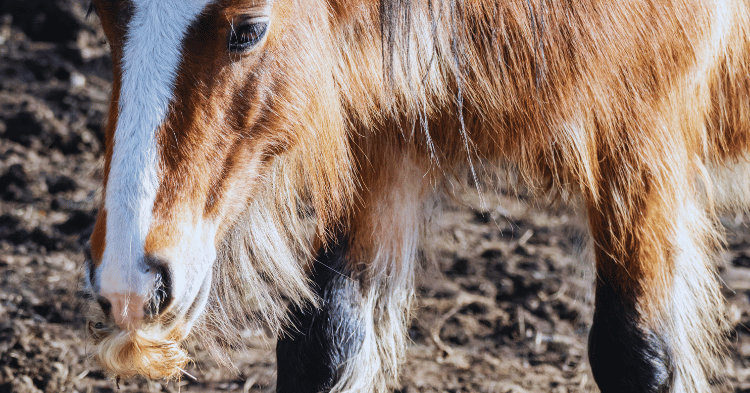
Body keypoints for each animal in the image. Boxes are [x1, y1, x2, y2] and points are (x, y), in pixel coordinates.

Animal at [82, 0, 750, 390]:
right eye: (100, 10)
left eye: (249, 29)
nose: (129, 282)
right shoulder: (382, 144)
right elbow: (325, 347)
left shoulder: (643, 138)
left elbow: (637, 355)